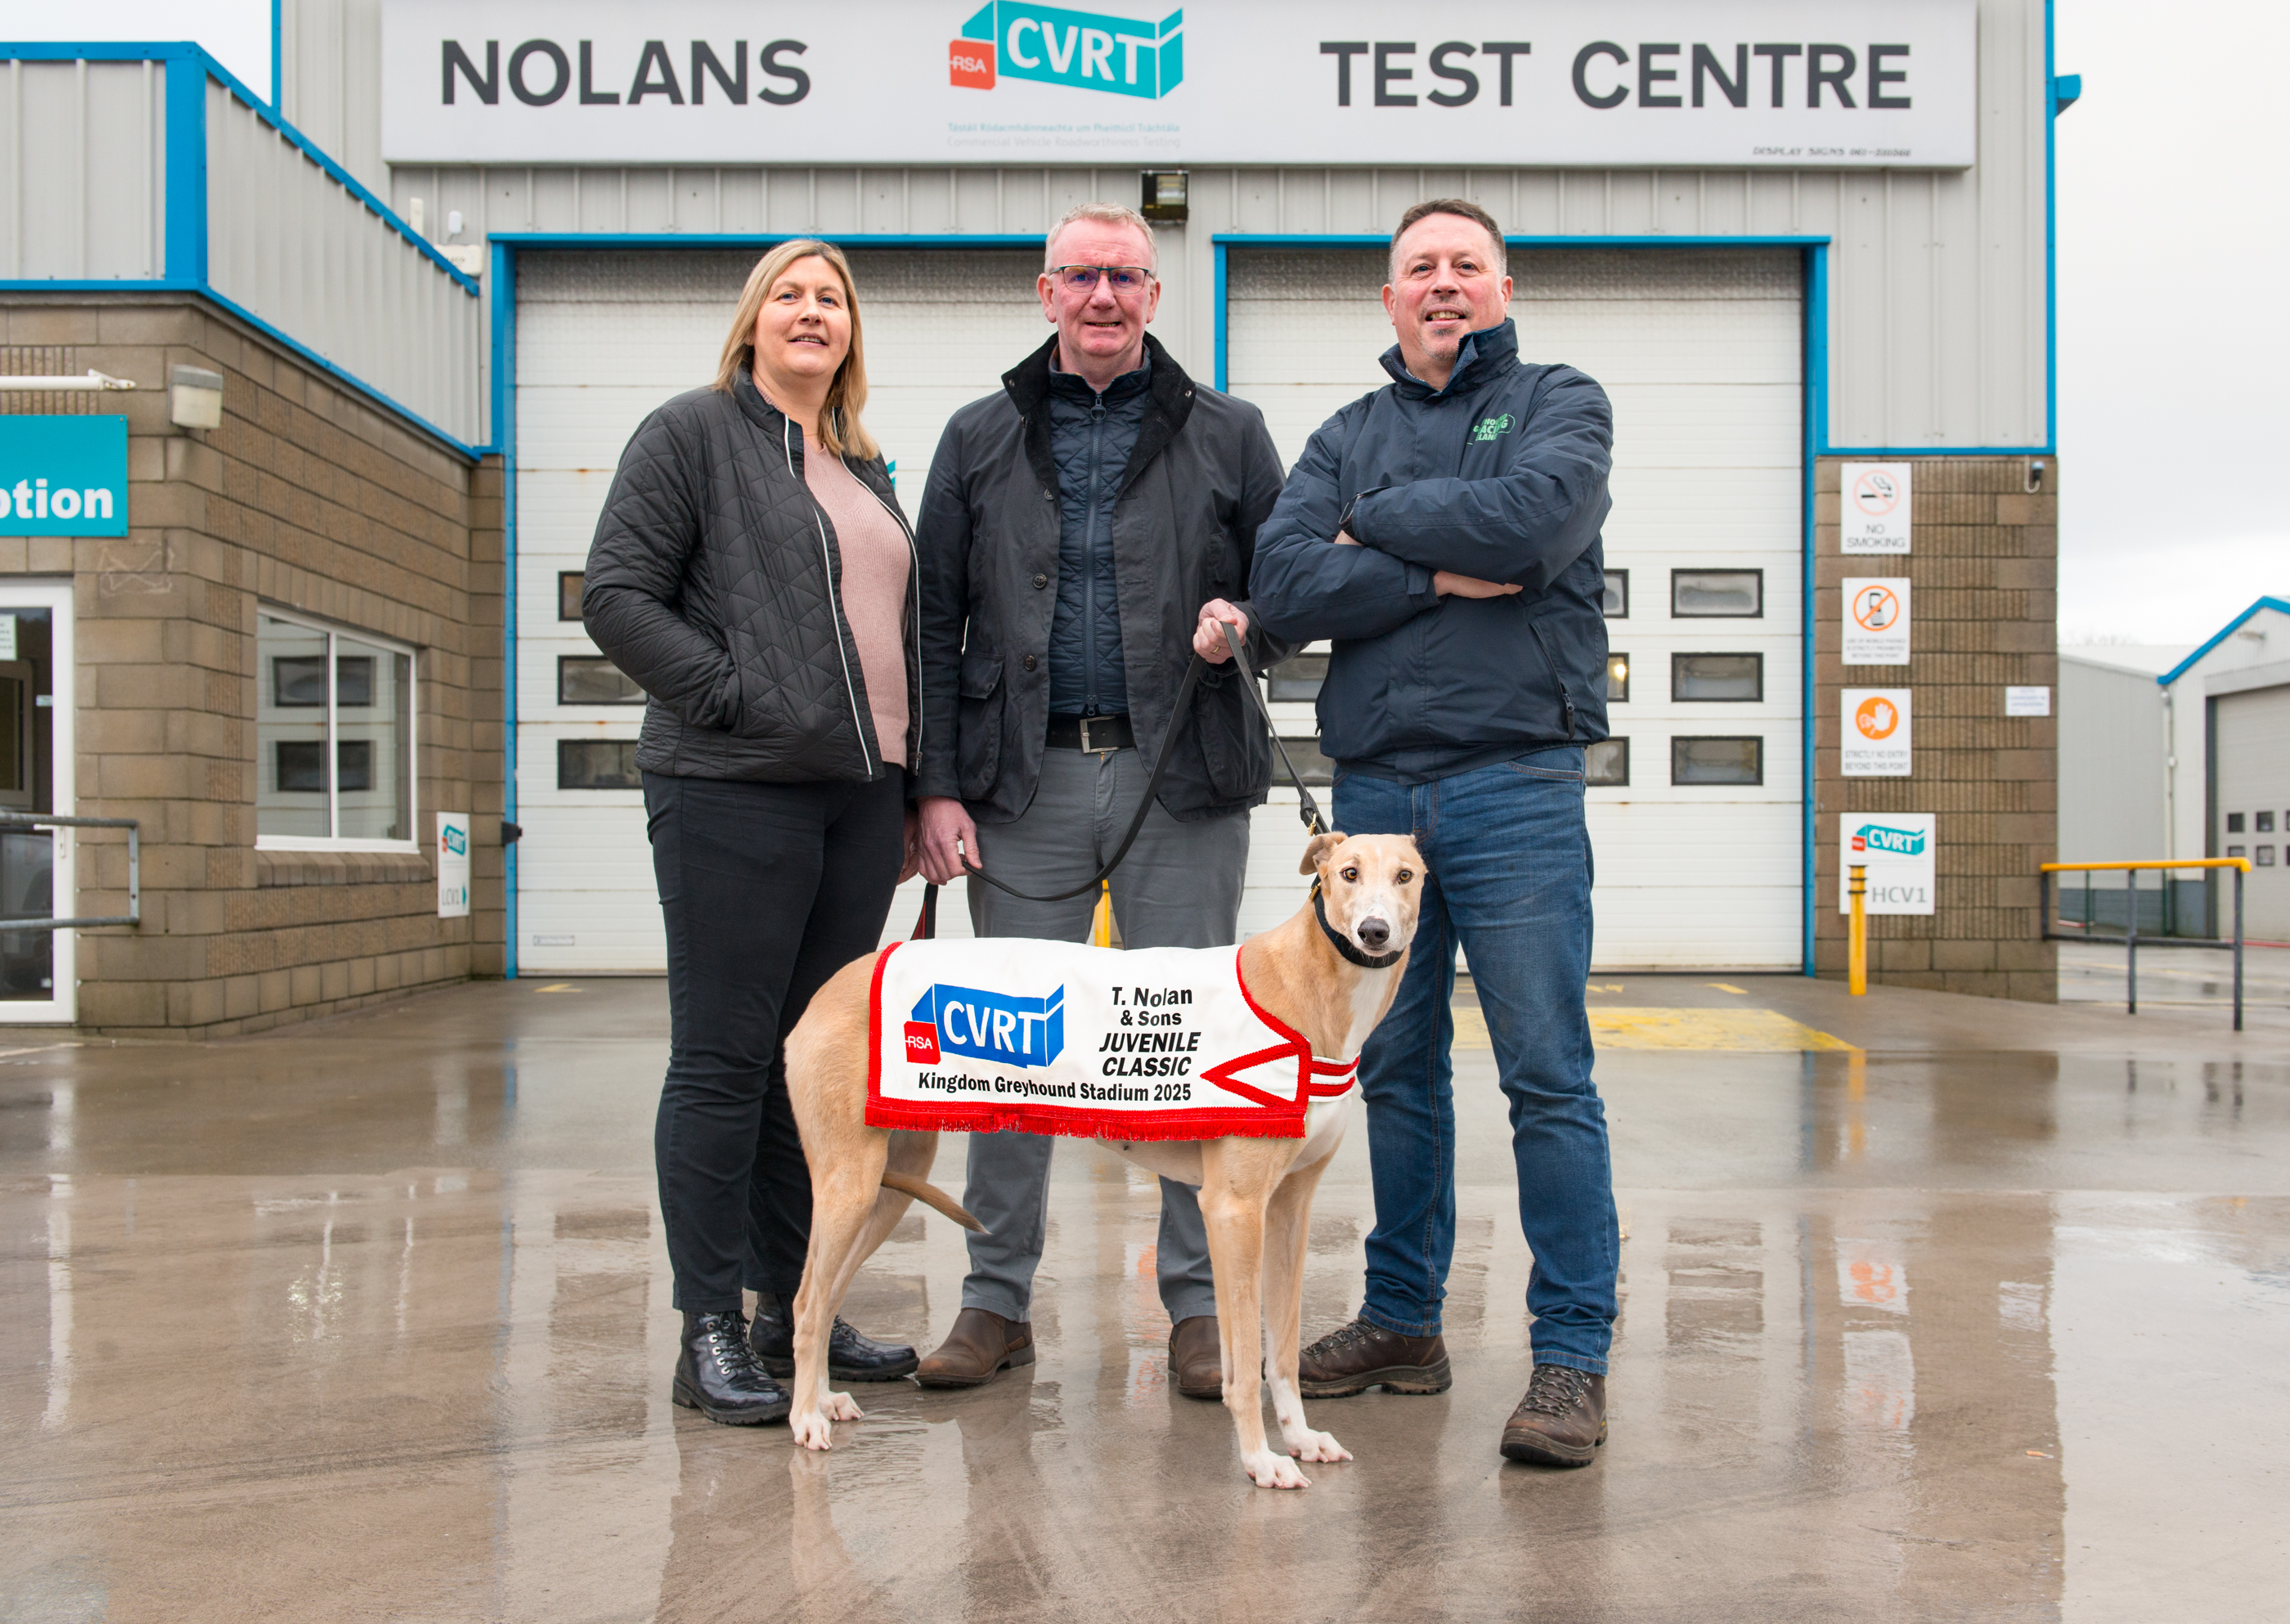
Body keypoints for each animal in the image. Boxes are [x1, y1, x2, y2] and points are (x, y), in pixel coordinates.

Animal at [797, 829, 1420, 1484]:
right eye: (1348, 872)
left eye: (1405, 876)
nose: (1374, 932)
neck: (1307, 988)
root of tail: (831, 984)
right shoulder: (1234, 1208)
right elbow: (1245, 1365)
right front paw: (1259, 1460)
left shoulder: (1289, 1211)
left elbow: (1282, 1354)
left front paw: (1299, 1439)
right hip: (849, 1184)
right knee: (806, 1302)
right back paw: (804, 1419)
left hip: (889, 1187)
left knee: (828, 1292)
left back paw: (824, 1399)